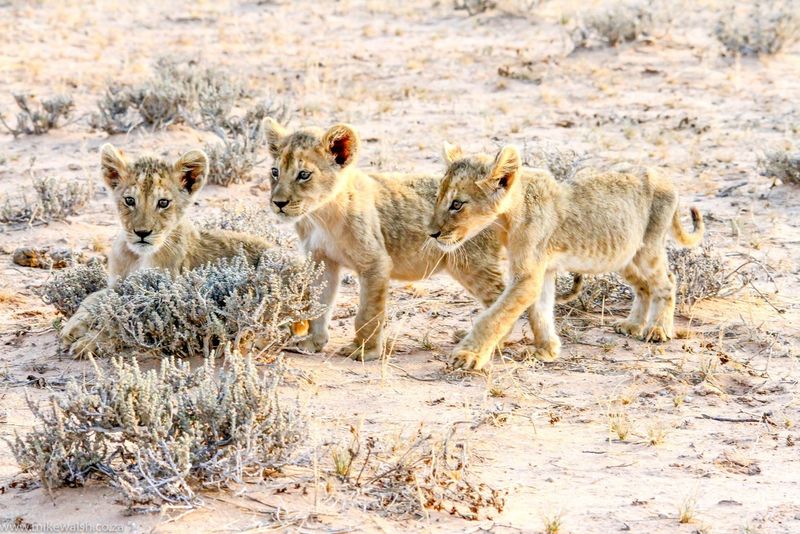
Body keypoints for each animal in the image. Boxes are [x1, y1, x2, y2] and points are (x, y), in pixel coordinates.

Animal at [60, 143, 308, 355]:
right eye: (129, 200)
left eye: (163, 203)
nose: (142, 233)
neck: (137, 256)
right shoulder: (119, 285)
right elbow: (94, 297)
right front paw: (72, 326)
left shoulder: (158, 303)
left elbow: (120, 323)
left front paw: (89, 342)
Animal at [428, 143, 704, 371]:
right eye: (438, 198)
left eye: (457, 204)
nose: (431, 233)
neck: (507, 217)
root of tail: (665, 177)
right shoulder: (544, 270)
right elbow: (539, 312)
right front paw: (546, 351)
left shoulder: (527, 276)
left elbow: (494, 317)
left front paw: (467, 356)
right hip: (623, 255)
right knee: (644, 285)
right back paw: (632, 325)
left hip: (648, 249)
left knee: (666, 281)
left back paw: (658, 329)